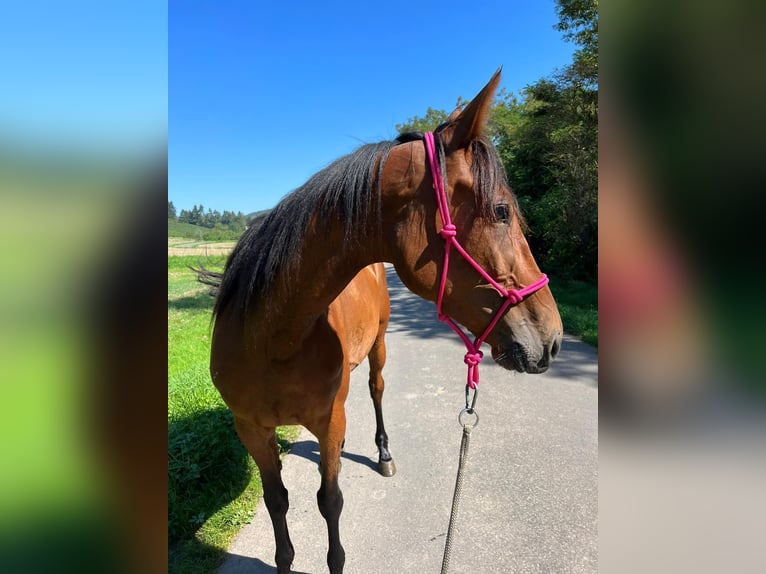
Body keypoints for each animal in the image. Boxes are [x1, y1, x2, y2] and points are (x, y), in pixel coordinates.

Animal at [202, 72, 564, 574]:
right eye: (501, 211)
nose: (552, 338)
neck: (275, 339)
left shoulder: (329, 419)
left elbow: (330, 501)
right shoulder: (251, 429)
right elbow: (277, 501)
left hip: (378, 349)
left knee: (375, 391)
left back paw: (384, 451)